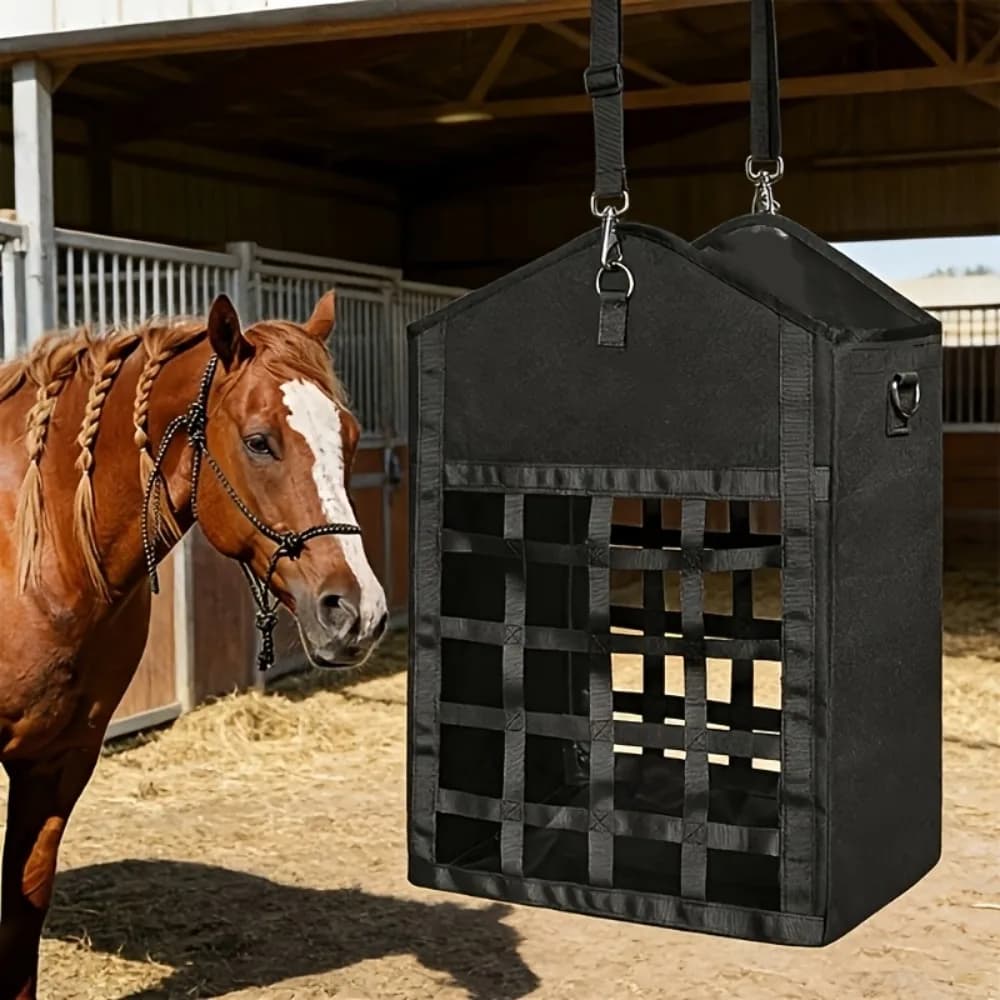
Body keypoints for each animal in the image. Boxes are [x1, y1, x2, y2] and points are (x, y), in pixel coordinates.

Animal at [0, 291, 388, 998]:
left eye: (348, 440)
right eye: (260, 442)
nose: (359, 612)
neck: (32, 548)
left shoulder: (58, 762)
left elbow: (23, 911)